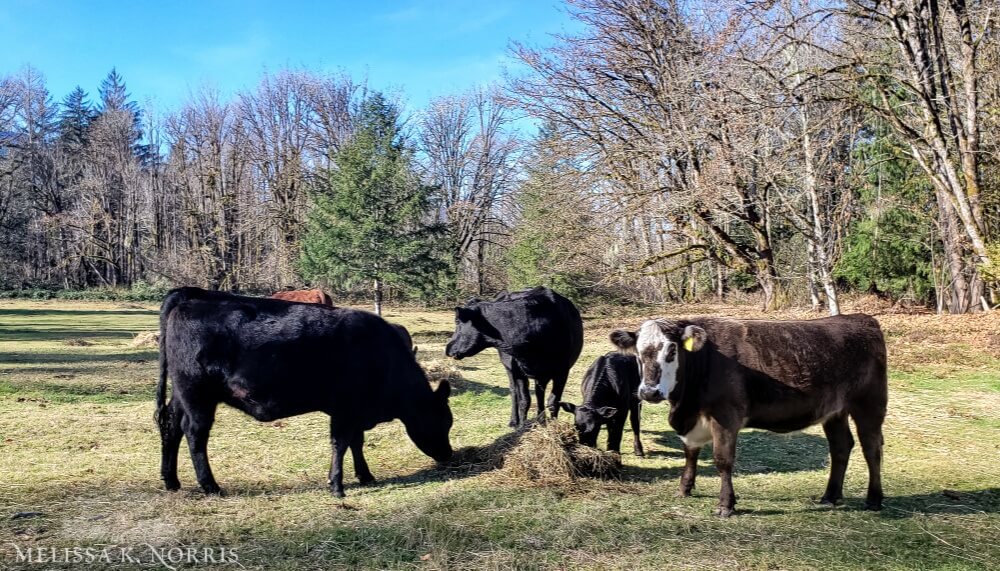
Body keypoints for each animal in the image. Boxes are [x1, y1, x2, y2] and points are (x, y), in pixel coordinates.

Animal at [155, 288, 454, 498]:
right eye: (443, 421)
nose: (448, 455)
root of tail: (190, 297)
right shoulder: (345, 409)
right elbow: (341, 443)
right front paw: (336, 485)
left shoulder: (355, 412)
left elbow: (356, 442)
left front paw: (365, 475)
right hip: (197, 395)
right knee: (195, 433)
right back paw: (210, 486)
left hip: (181, 394)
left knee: (171, 425)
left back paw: (171, 480)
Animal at [446, 288, 584, 426]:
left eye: (457, 322)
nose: (448, 348)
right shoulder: (518, 369)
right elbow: (524, 400)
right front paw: (522, 427)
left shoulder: (563, 370)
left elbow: (553, 402)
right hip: (509, 367)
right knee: (514, 391)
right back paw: (514, 421)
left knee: (539, 393)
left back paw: (540, 420)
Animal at [608, 316, 884, 516]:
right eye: (638, 353)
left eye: (671, 351)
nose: (649, 392)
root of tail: (859, 319)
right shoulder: (691, 421)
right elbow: (690, 453)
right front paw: (685, 488)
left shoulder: (726, 417)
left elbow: (723, 460)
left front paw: (726, 505)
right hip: (835, 412)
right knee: (840, 447)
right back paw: (830, 496)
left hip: (870, 405)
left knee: (872, 449)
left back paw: (873, 499)